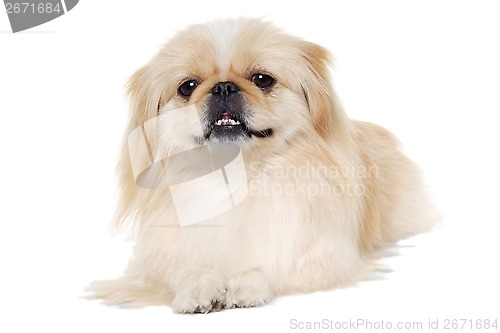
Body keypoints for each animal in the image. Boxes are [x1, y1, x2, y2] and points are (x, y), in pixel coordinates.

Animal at [88, 17, 436, 314]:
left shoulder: (321, 258)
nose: (223, 86)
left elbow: (272, 266)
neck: (235, 177)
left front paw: (245, 283)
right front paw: (198, 287)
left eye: (262, 79)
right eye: (188, 86)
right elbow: (179, 270)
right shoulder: (154, 260)